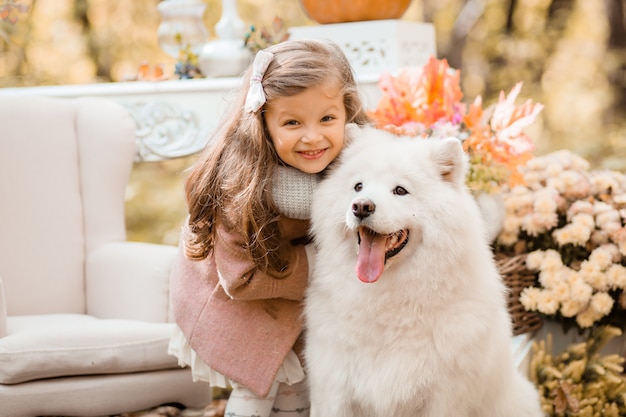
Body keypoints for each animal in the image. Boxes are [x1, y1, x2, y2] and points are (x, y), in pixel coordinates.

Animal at [304, 124, 540, 416]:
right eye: (358, 186)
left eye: (400, 190)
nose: (361, 206)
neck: (387, 301)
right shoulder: (335, 390)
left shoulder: (444, 400)